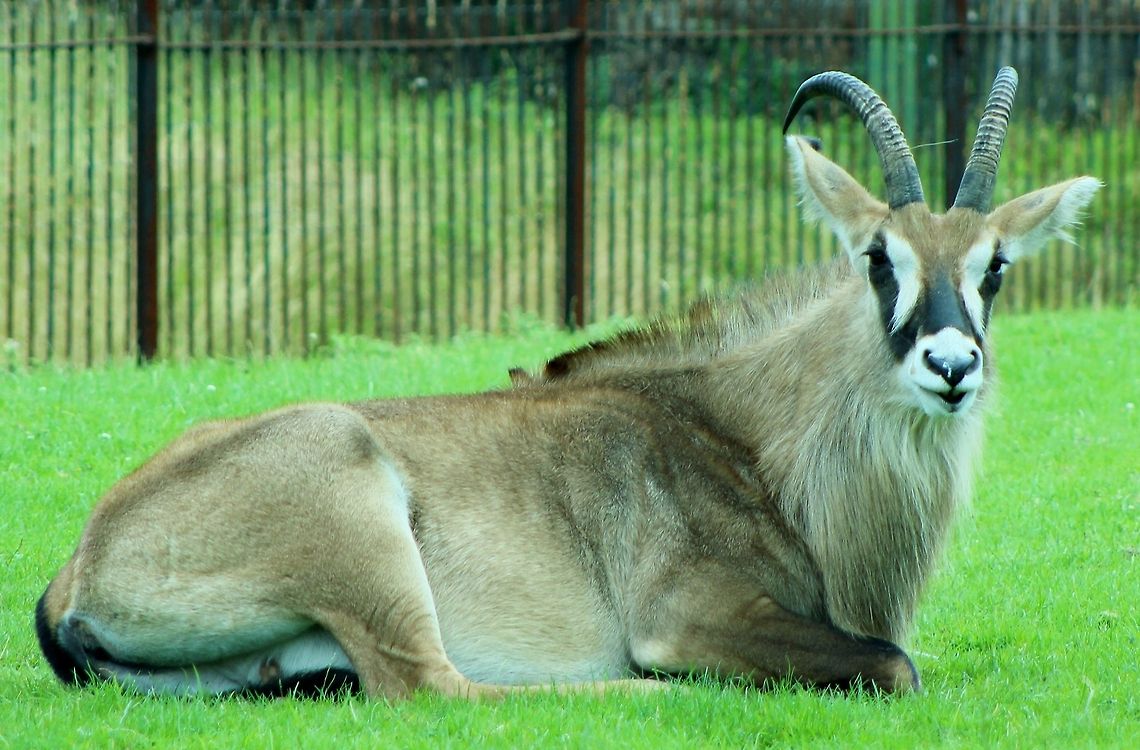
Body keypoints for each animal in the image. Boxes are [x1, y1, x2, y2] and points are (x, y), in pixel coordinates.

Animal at [36, 67, 1099, 700]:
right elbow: (895, 663)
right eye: (879, 257)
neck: (748, 439)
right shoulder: (693, 612)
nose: (951, 366)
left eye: (995, 267)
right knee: (440, 688)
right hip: (358, 512)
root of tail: (80, 565)